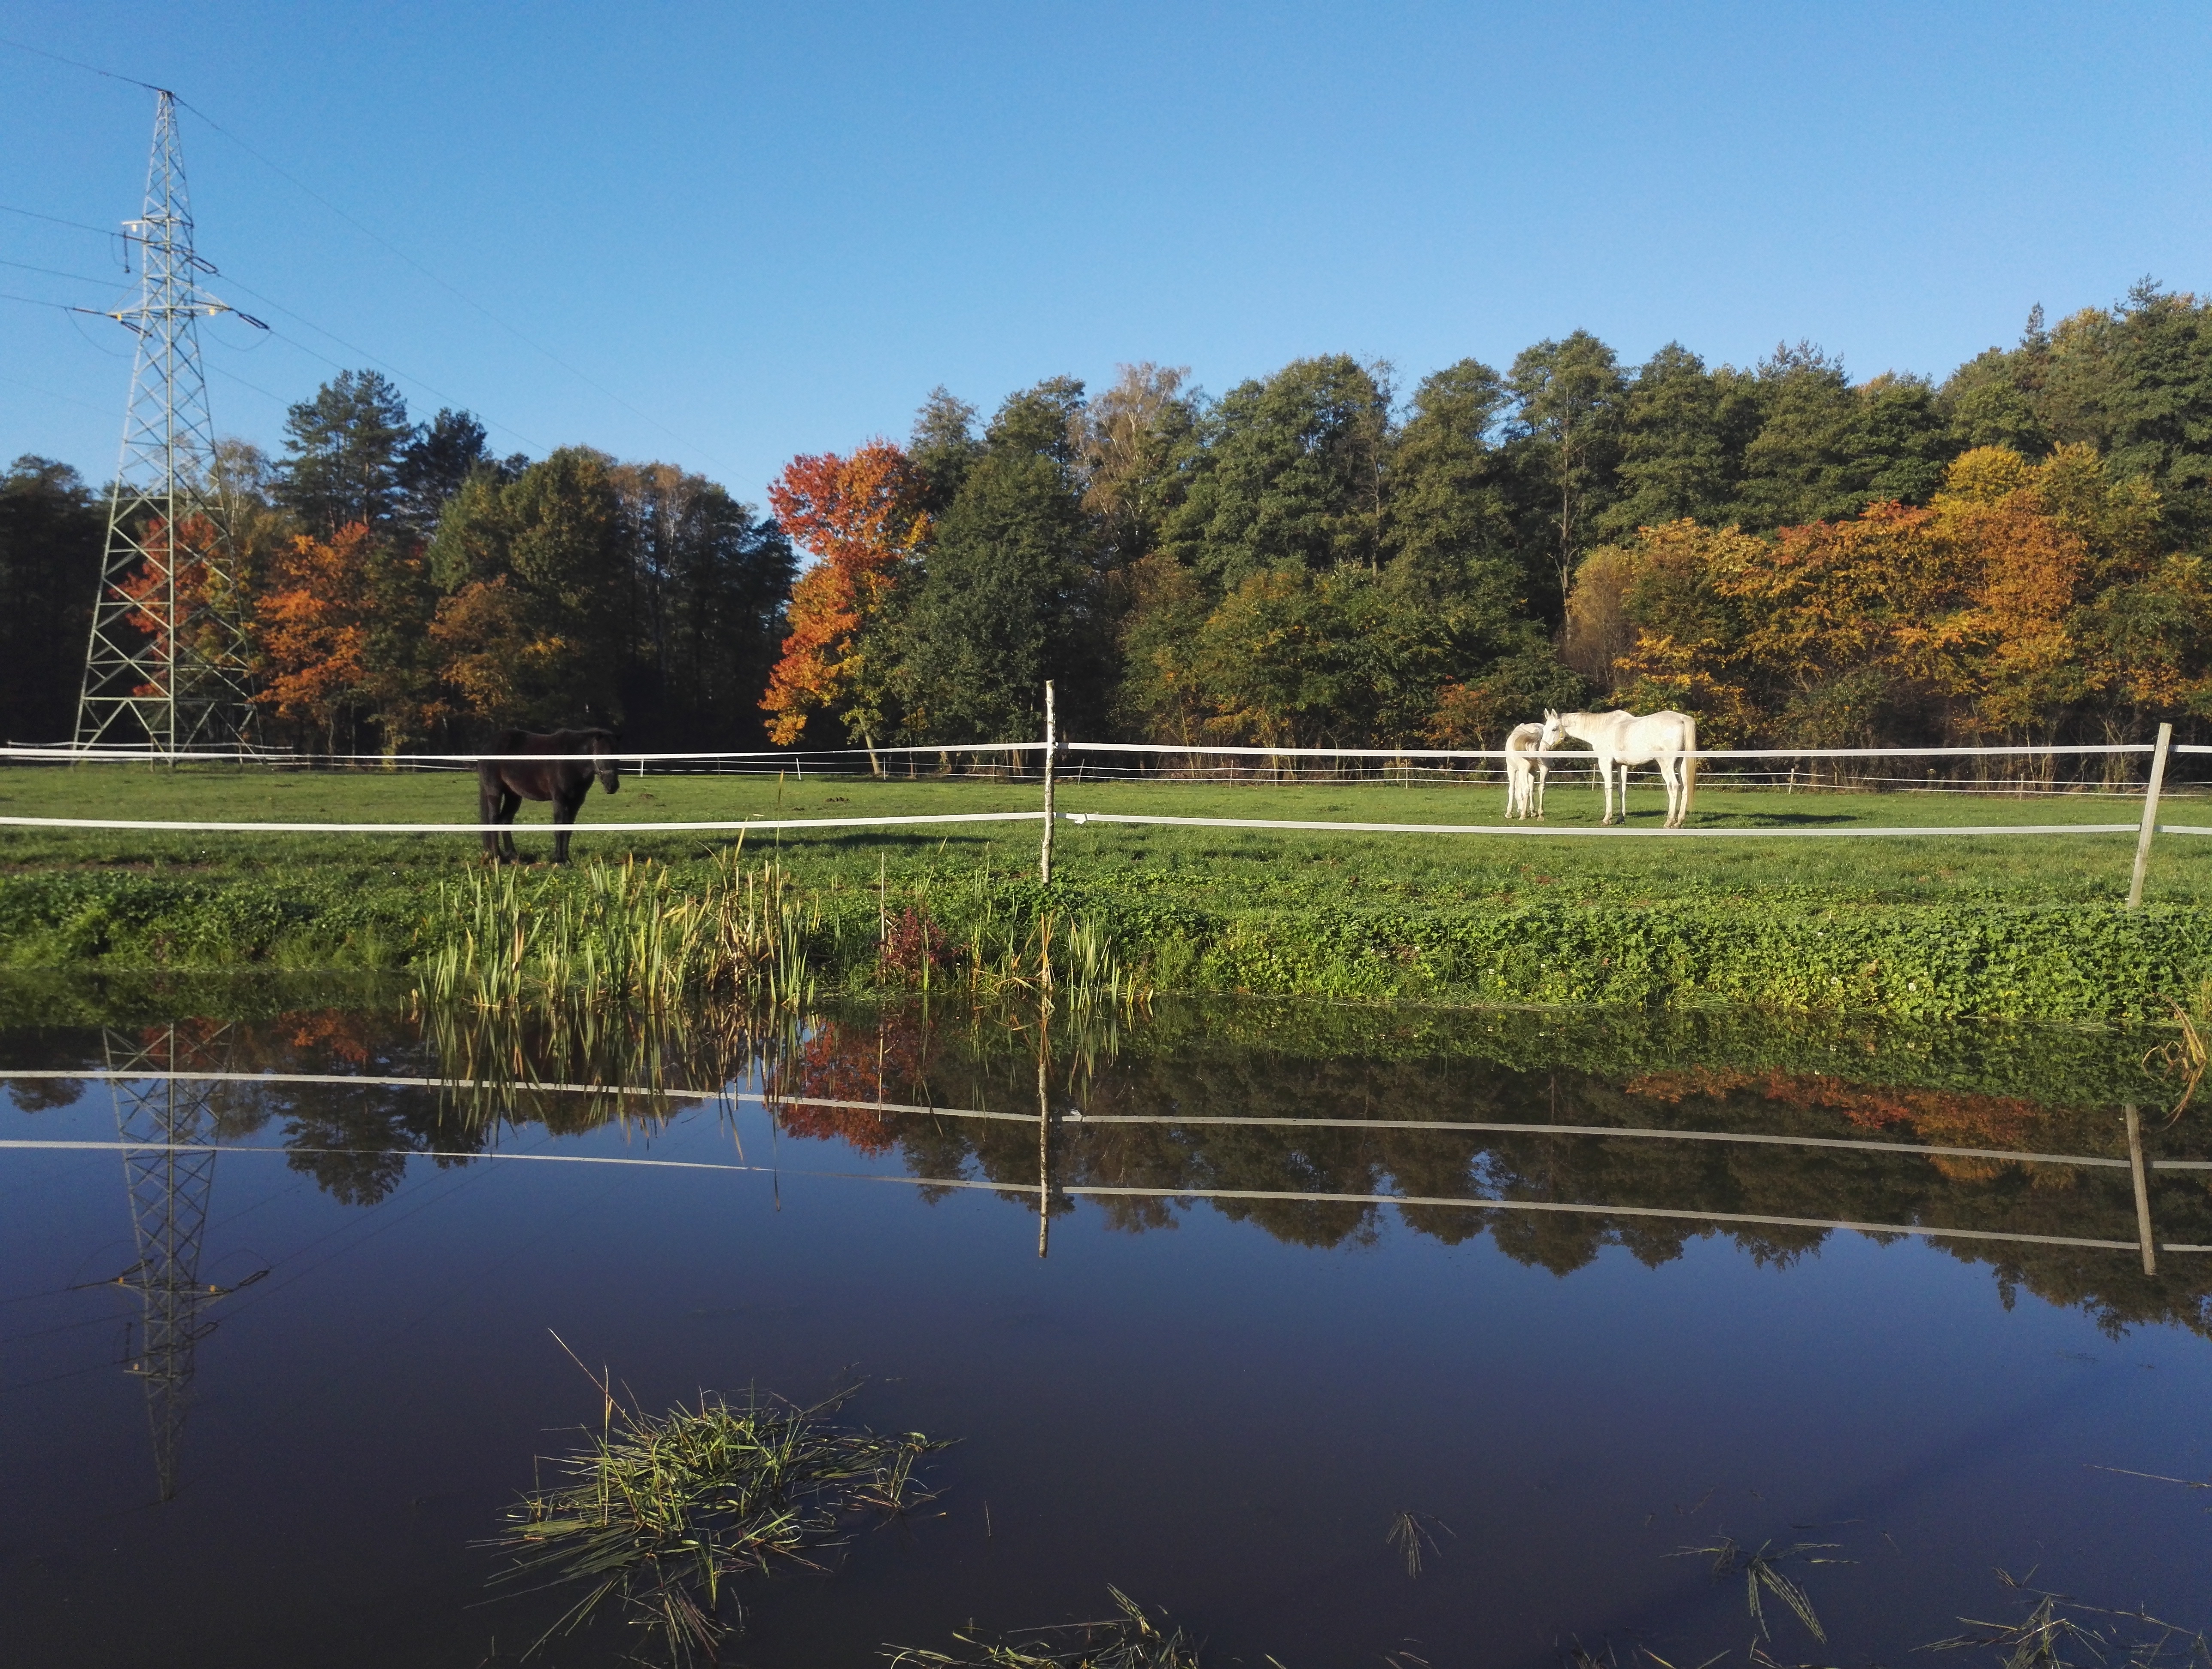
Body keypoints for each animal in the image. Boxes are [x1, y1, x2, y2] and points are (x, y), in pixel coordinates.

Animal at [477, 729, 623, 862]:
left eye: (617, 755)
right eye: (602, 754)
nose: (612, 786)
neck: (571, 761)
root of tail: (488, 744)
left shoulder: (577, 802)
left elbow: (568, 830)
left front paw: (567, 859)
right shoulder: (560, 799)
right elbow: (559, 828)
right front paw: (559, 860)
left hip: (513, 795)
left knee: (505, 820)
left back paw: (514, 857)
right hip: (495, 791)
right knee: (494, 820)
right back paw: (498, 857)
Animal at [1495, 720, 1548, 818]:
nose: (1519, 810)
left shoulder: (1511, 769)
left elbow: (1512, 790)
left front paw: (1509, 813)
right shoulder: (1532, 771)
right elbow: (1532, 789)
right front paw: (1533, 811)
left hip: (1524, 769)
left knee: (1526, 789)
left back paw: (1523, 815)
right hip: (1544, 769)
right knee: (1542, 788)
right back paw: (1540, 813)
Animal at [1548, 707, 1698, 831]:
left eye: (1554, 729)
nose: (1546, 747)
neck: (1602, 728)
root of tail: (1682, 719)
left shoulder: (1606, 762)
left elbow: (1608, 789)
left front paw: (1607, 819)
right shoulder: (1622, 765)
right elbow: (1622, 790)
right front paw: (1621, 818)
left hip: (1666, 764)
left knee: (1673, 786)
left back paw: (1669, 822)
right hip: (1682, 764)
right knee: (1685, 788)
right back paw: (1679, 822)